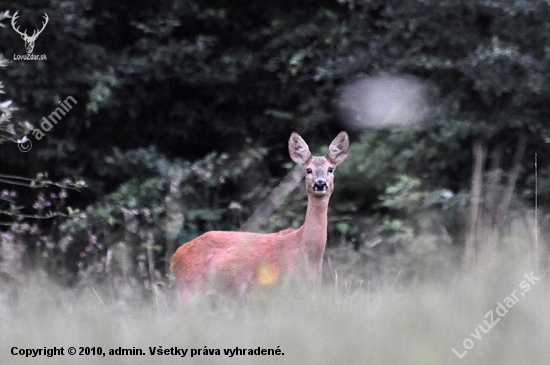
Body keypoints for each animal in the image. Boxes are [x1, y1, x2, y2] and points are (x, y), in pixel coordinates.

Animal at [171, 131, 350, 302]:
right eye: (308, 170)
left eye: (330, 169)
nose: (320, 184)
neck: (306, 253)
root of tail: (176, 256)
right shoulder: (275, 289)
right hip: (189, 289)